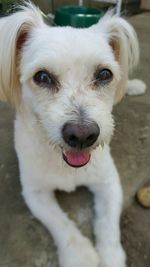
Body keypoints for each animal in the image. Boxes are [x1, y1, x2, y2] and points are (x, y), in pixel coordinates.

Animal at [0, 3, 146, 267]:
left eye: (104, 74)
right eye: (42, 76)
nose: (82, 136)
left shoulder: (109, 182)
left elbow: (108, 224)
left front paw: (110, 256)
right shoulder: (35, 192)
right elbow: (60, 224)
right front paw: (81, 256)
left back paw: (135, 85)